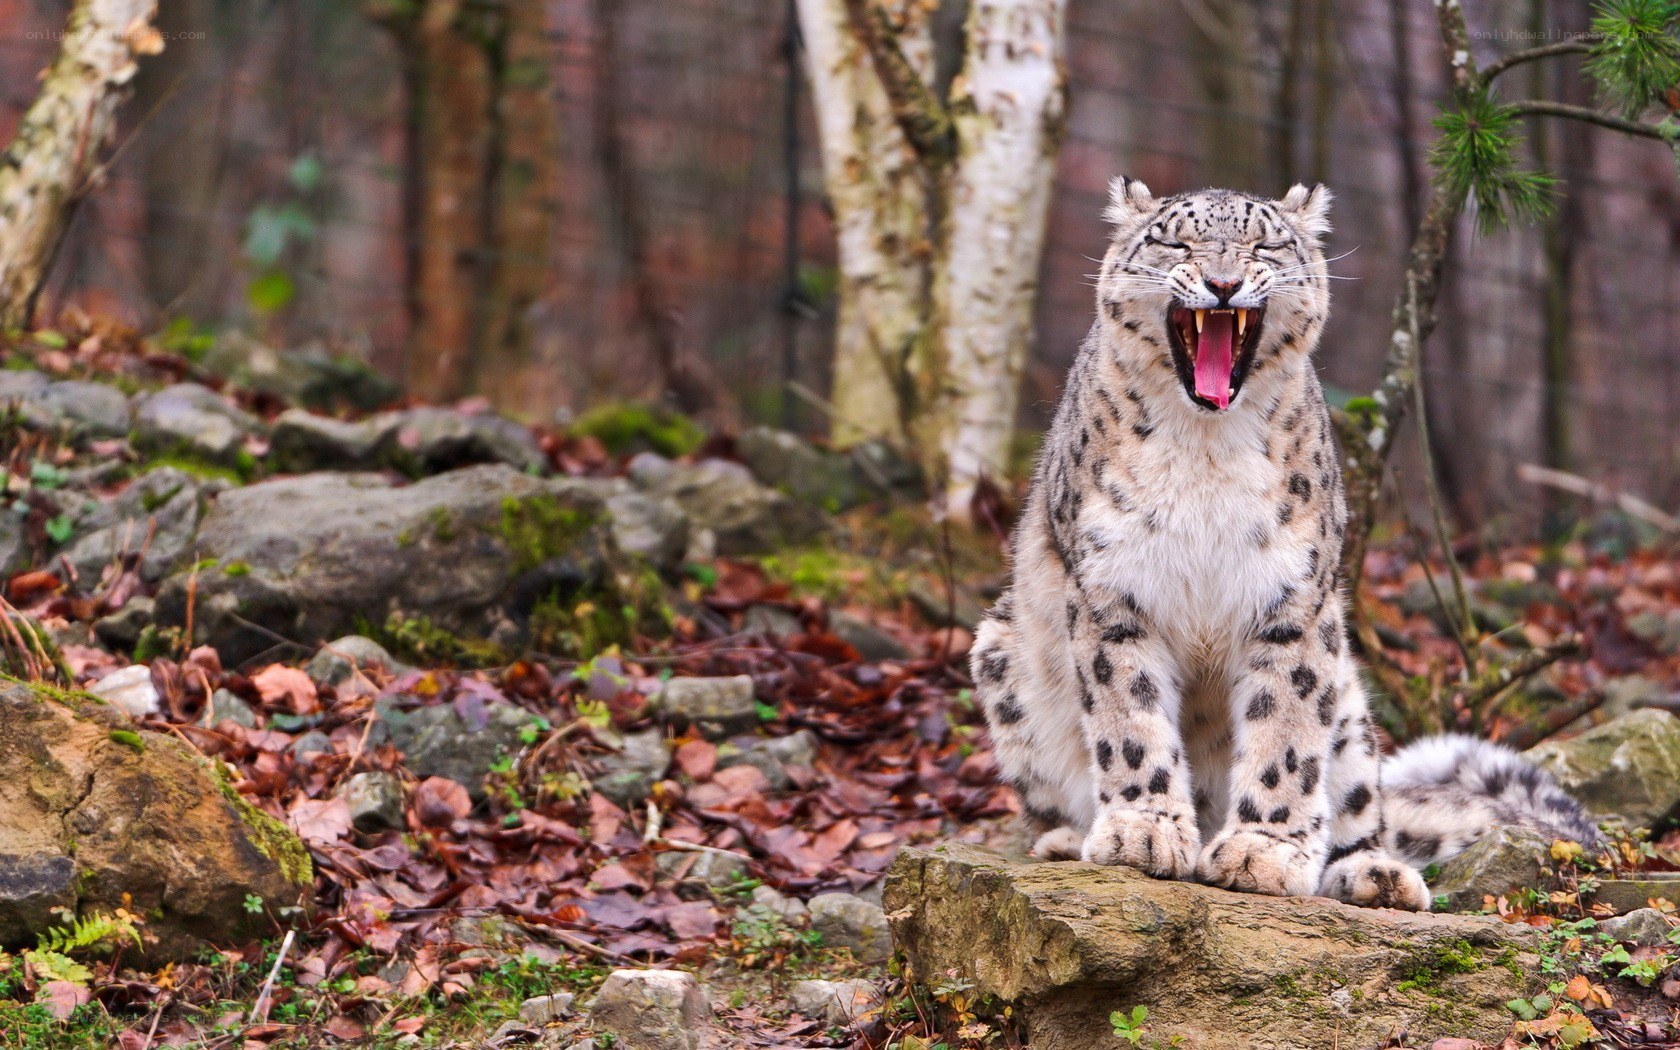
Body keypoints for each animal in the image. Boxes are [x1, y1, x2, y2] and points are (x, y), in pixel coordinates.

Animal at [970, 179, 1597, 910]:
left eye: (1264, 245)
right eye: (1175, 241)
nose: (1223, 282)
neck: (1206, 447)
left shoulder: (1292, 600)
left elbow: (1286, 731)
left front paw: (1262, 852)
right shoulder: (1113, 591)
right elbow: (1130, 718)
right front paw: (1143, 831)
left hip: (1349, 705)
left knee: (1360, 806)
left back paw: (1374, 874)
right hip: (1000, 654)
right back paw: (1070, 838)